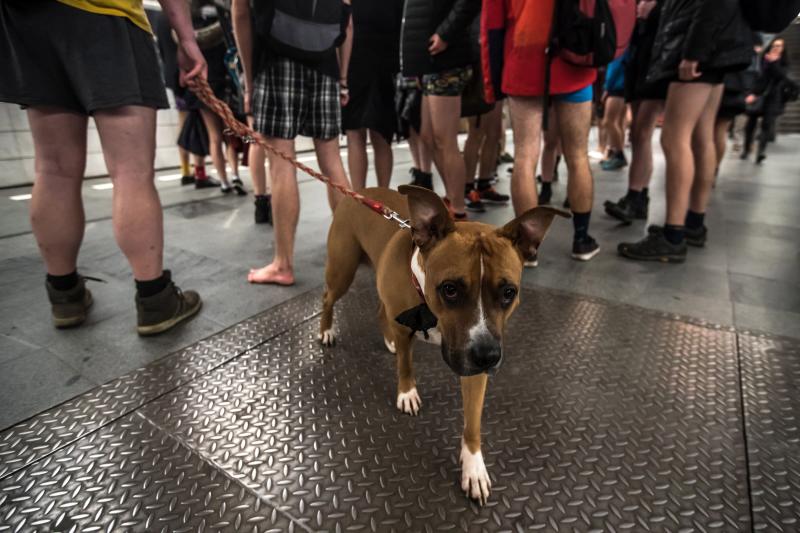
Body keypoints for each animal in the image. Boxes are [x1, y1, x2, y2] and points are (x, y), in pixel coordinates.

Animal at [318, 186, 568, 502]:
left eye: (509, 292)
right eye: (450, 289)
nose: (488, 356)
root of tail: (360, 192)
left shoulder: (473, 368)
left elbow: (472, 422)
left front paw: (474, 467)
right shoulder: (413, 333)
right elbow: (406, 365)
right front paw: (407, 393)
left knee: (380, 310)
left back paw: (386, 339)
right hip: (342, 271)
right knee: (328, 298)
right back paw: (326, 330)